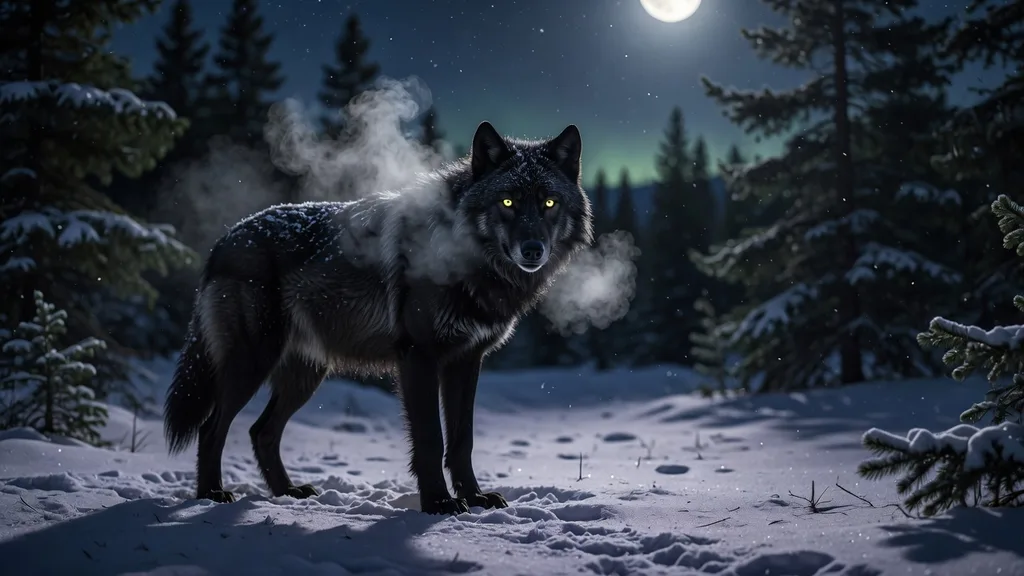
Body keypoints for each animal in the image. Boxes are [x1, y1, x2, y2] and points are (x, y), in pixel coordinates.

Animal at [163, 121, 593, 515]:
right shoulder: (418, 357)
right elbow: (431, 438)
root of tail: (225, 238)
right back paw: (211, 494)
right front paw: (438, 502)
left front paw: (474, 498)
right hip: (252, 363)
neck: (468, 262)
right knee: (212, 428)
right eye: (507, 202)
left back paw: (288, 492)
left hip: (305, 375)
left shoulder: (466, 361)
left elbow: (462, 440)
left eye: (549, 203)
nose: (533, 249)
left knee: (261, 431)